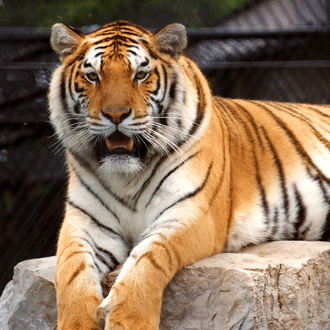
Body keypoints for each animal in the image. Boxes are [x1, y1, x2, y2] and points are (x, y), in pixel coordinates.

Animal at [48, 19, 330, 328]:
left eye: (140, 75)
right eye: (92, 76)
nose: (116, 114)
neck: (127, 178)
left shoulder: (191, 213)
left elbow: (148, 259)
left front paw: (129, 319)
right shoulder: (84, 222)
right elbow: (71, 271)